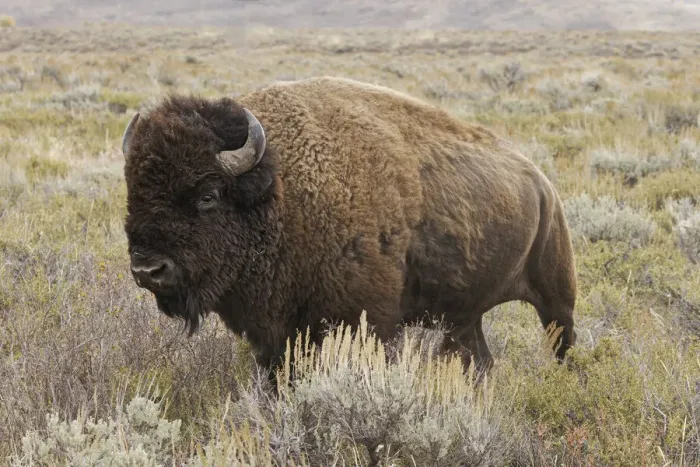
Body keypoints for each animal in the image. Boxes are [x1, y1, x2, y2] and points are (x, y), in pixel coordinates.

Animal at [121, 76, 577, 376]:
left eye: (208, 195)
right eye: (132, 190)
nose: (148, 269)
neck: (282, 190)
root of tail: (543, 184)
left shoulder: (366, 323)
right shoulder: (277, 333)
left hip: (557, 298)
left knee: (563, 343)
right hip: (465, 315)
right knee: (477, 357)